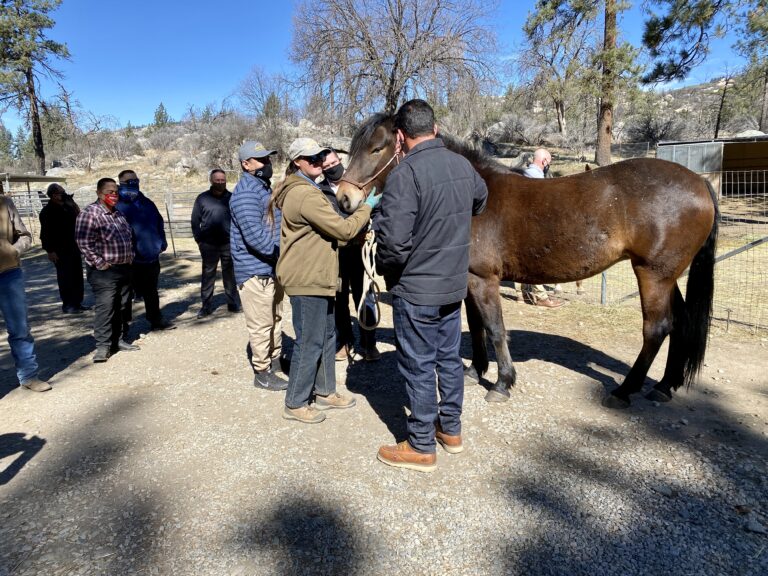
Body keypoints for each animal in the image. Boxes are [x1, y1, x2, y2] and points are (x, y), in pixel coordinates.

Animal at [338, 113, 720, 410]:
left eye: (377, 148)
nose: (344, 199)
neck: (473, 192)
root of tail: (700, 182)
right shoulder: (467, 278)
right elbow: (476, 324)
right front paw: (475, 370)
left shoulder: (483, 278)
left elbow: (494, 327)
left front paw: (502, 383)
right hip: (667, 275)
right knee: (680, 323)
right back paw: (664, 386)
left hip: (653, 274)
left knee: (656, 328)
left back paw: (625, 390)